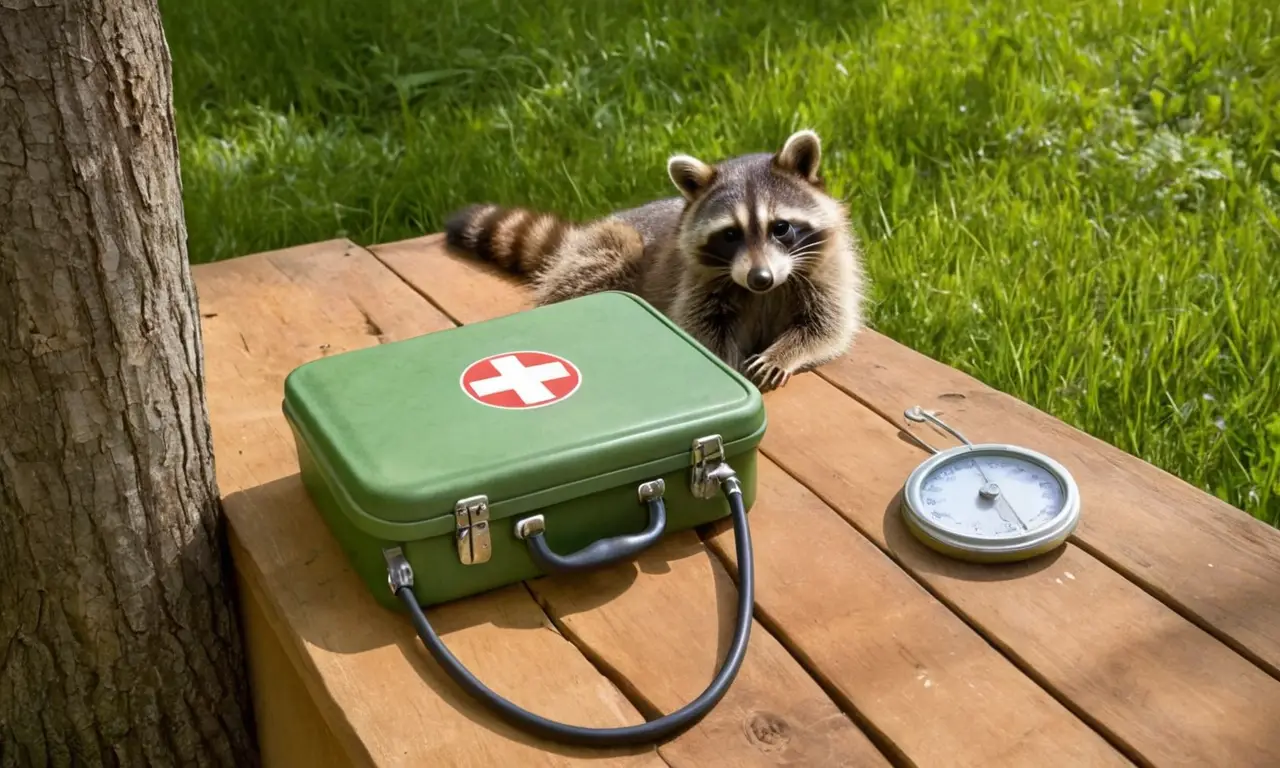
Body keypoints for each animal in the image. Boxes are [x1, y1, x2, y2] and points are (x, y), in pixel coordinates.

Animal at [443, 130, 866, 392]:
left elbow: (826, 325)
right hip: (611, 244)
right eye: (731, 234)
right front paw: (724, 360)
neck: (765, 290)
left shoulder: (828, 269)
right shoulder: (695, 280)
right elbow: (700, 326)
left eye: (781, 228)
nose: (759, 278)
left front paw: (785, 352)